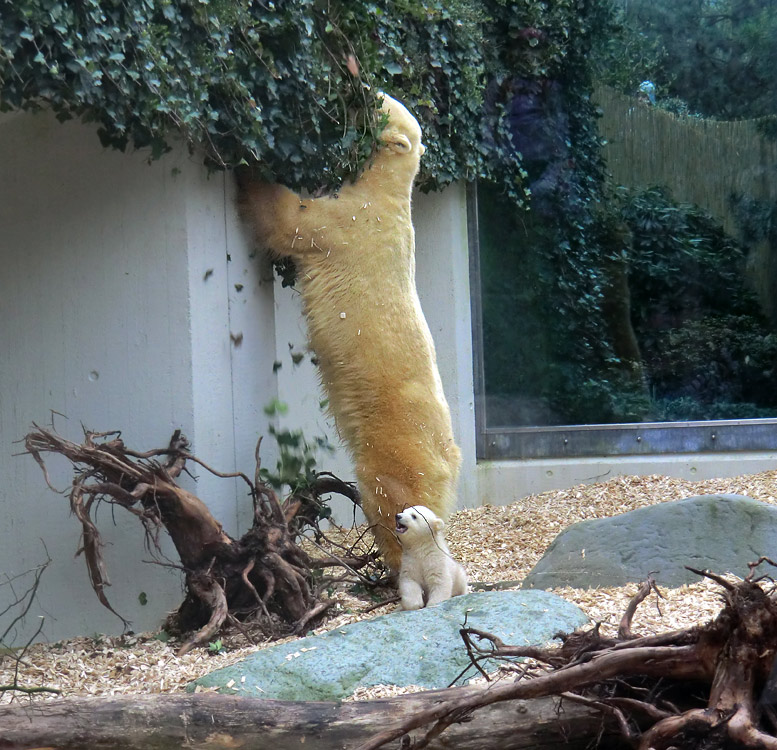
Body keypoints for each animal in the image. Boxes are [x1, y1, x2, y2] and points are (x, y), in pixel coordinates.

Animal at [239, 95, 460, 576]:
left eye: (381, 103)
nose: (367, 90)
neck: (388, 191)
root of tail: (450, 459)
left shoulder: (348, 222)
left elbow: (293, 219)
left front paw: (249, 164)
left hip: (395, 442)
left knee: (391, 494)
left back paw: (392, 565)